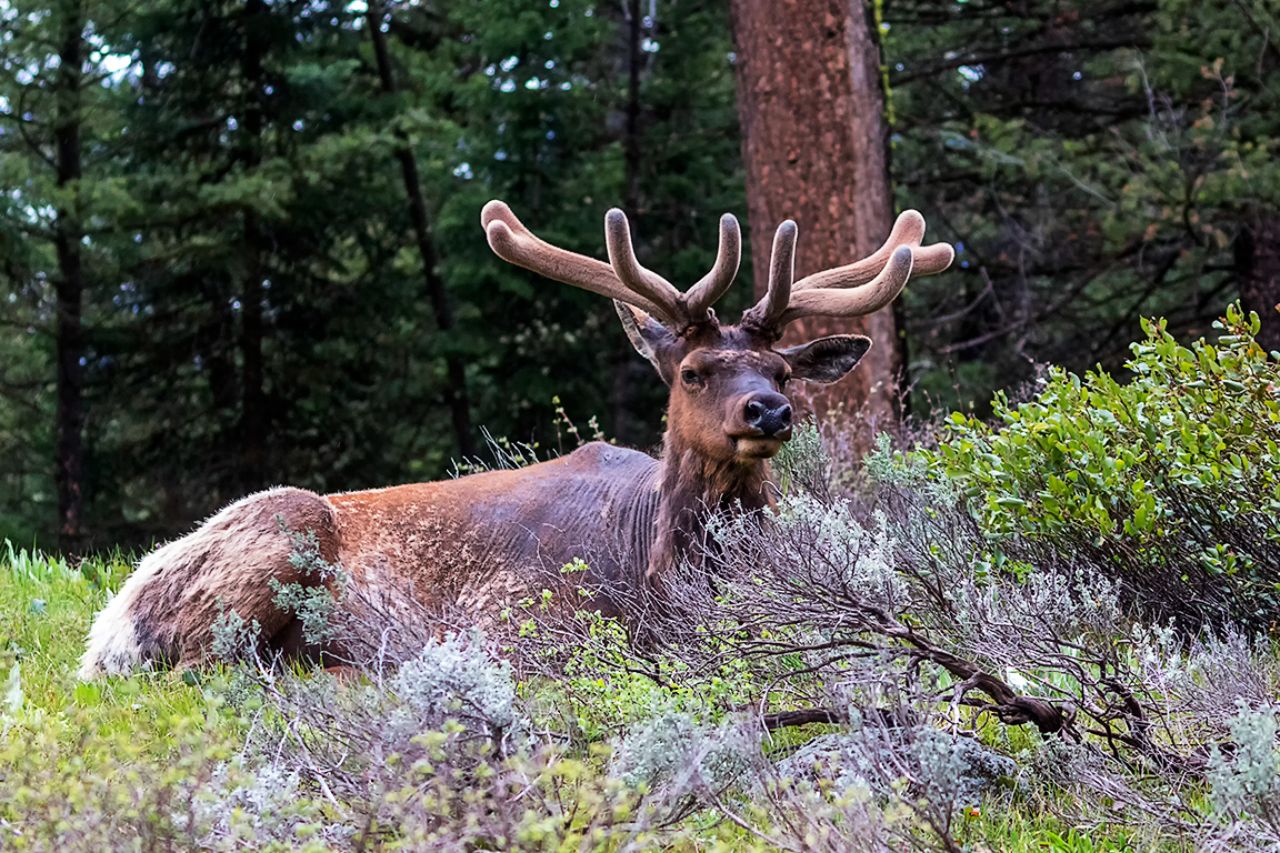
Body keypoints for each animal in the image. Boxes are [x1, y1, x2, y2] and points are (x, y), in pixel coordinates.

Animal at [79, 199, 953, 679]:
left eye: (781, 368)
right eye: (693, 371)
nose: (768, 411)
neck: (650, 562)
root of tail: (107, 628)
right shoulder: (510, 615)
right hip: (278, 531)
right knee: (211, 673)